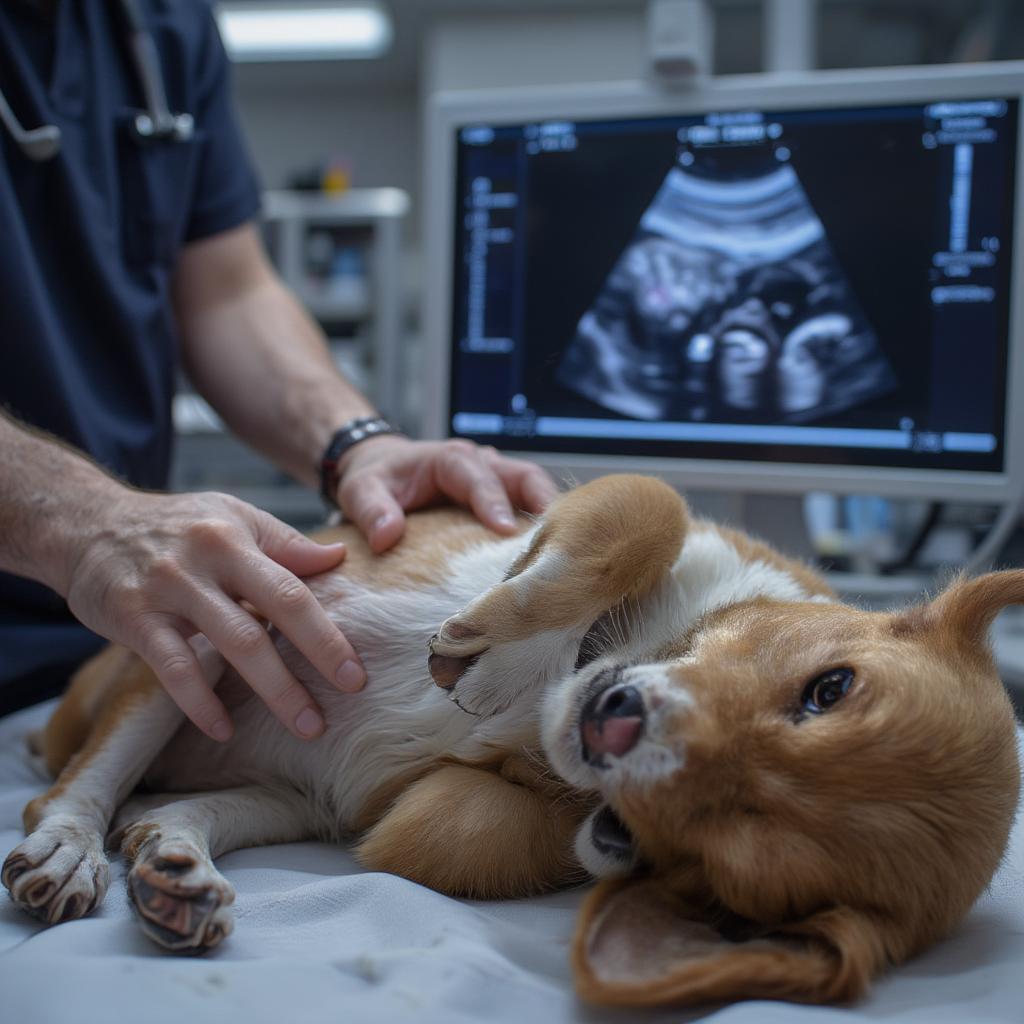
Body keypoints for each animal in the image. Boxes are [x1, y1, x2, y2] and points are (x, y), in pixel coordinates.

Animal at [2, 477, 1024, 1007]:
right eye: (827, 689)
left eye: (740, 853)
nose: (613, 726)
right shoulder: (606, 513)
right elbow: (644, 512)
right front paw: (493, 652)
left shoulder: (425, 819)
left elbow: (483, 824)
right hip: (206, 624)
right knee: (76, 788)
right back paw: (71, 849)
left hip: (281, 792)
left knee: (155, 807)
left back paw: (173, 867)